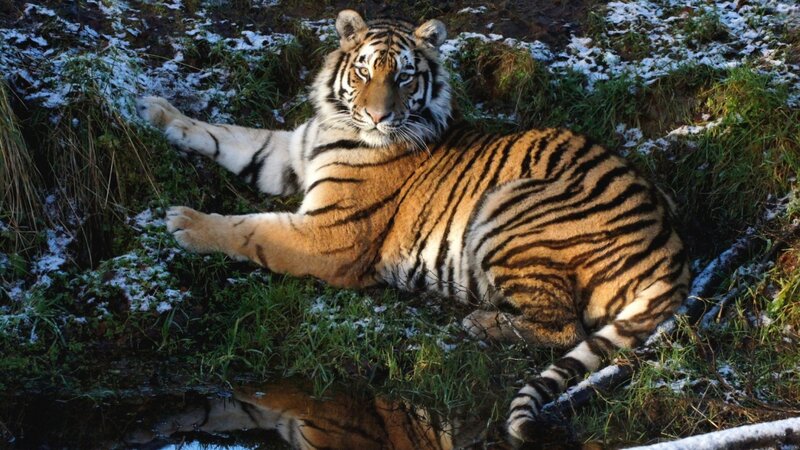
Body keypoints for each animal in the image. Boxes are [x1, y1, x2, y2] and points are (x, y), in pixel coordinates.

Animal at [136, 9, 690, 444]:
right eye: (363, 73)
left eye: (404, 78)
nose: (379, 118)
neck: (336, 124)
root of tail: (674, 248)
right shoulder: (287, 154)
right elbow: (225, 134)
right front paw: (157, 111)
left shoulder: (329, 236)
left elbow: (253, 230)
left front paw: (185, 223)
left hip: (507, 206)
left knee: (564, 325)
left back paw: (480, 322)